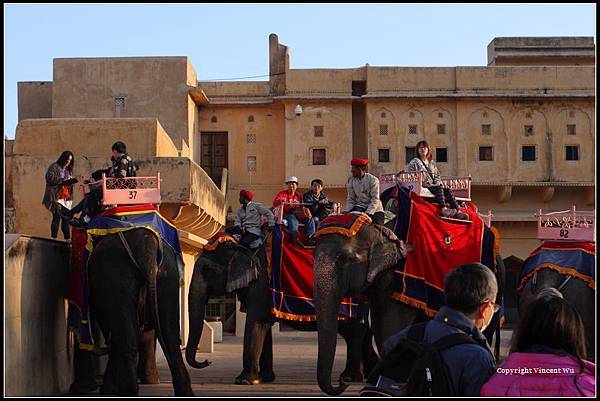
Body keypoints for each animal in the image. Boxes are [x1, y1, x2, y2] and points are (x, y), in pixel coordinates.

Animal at [185, 236, 378, 386]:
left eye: (207, 270)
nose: (207, 361)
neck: (243, 245)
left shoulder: (262, 284)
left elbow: (255, 323)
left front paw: (243, 381)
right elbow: (264, 328)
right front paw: (264, 378)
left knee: (354, 332)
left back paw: (350, 378)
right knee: (362, 332)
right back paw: (369, 375)